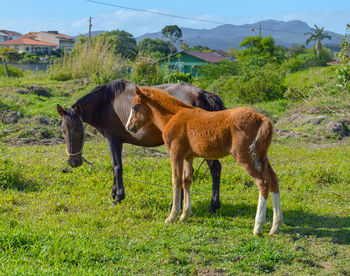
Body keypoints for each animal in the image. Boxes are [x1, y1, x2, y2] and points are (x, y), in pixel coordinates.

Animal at [56, 78, 226, 212]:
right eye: (63, 130)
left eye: (79, 129)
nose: (73, 162)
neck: (106, 103)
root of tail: (204, 95)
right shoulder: (118, 142)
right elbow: (115, 167)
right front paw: (113, 193)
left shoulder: (112, 139)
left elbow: (117, 167)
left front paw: (118, 197)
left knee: (214, 168)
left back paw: (212, 205)